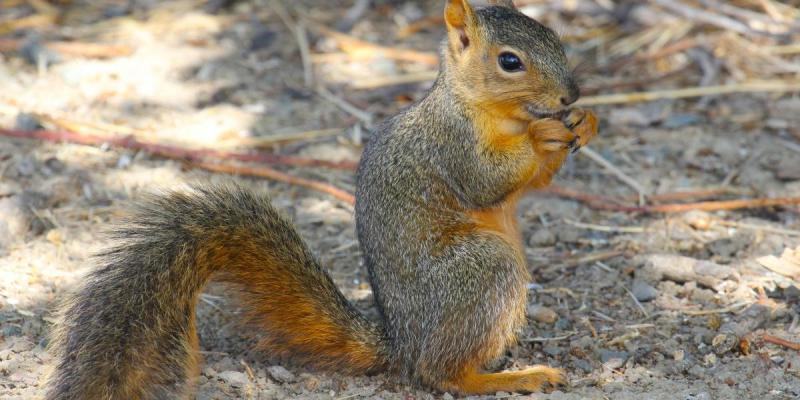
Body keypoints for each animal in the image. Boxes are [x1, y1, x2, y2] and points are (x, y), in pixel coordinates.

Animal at [43, 1, 592, 398]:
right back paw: (509, 377)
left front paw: (586, 123)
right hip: (482, 270)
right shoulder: (451, 144)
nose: (570, 96)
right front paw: (545, 134)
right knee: (439, 374)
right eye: (509, 61)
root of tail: (402, 342)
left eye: (556, 39)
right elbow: (485, 181)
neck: (493, 111)